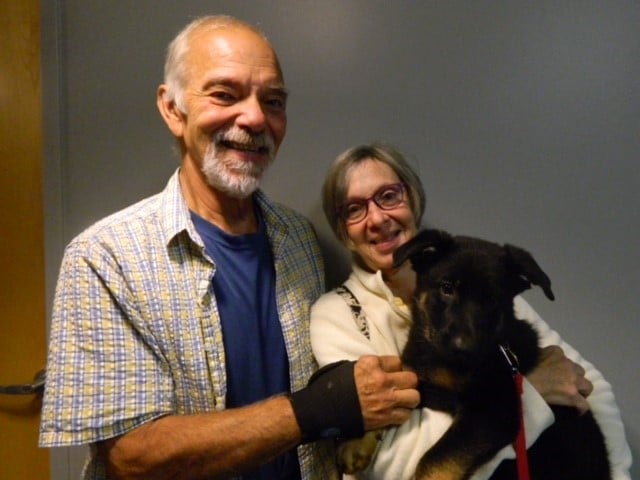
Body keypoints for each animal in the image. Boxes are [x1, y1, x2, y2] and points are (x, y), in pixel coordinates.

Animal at [396, 230, 608, 480]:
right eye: (446, 288)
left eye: (492, 299)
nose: (465, 348)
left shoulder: (494, 411)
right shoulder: (416, 381)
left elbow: (434, 461)